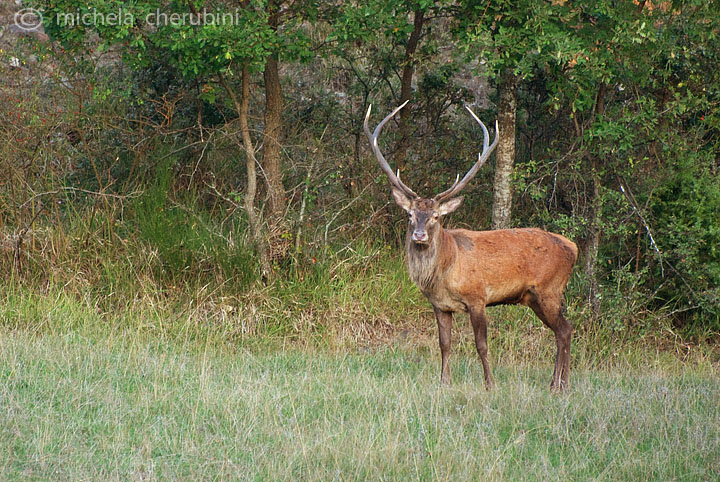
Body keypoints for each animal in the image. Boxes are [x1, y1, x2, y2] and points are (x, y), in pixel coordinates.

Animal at [366, 100, 580, 390]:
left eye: (436, 216)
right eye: (410, 214)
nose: (419, 235)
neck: (445, 271)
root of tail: (574, 247)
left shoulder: (478, 297)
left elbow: (481, 345)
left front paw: (490, 384)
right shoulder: (440, 305)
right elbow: (444, 344)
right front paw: (444, 382)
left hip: (550, 289)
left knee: (566, 329)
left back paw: (562, 384)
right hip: (535, 297)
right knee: (562, 330)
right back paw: (555, 383)